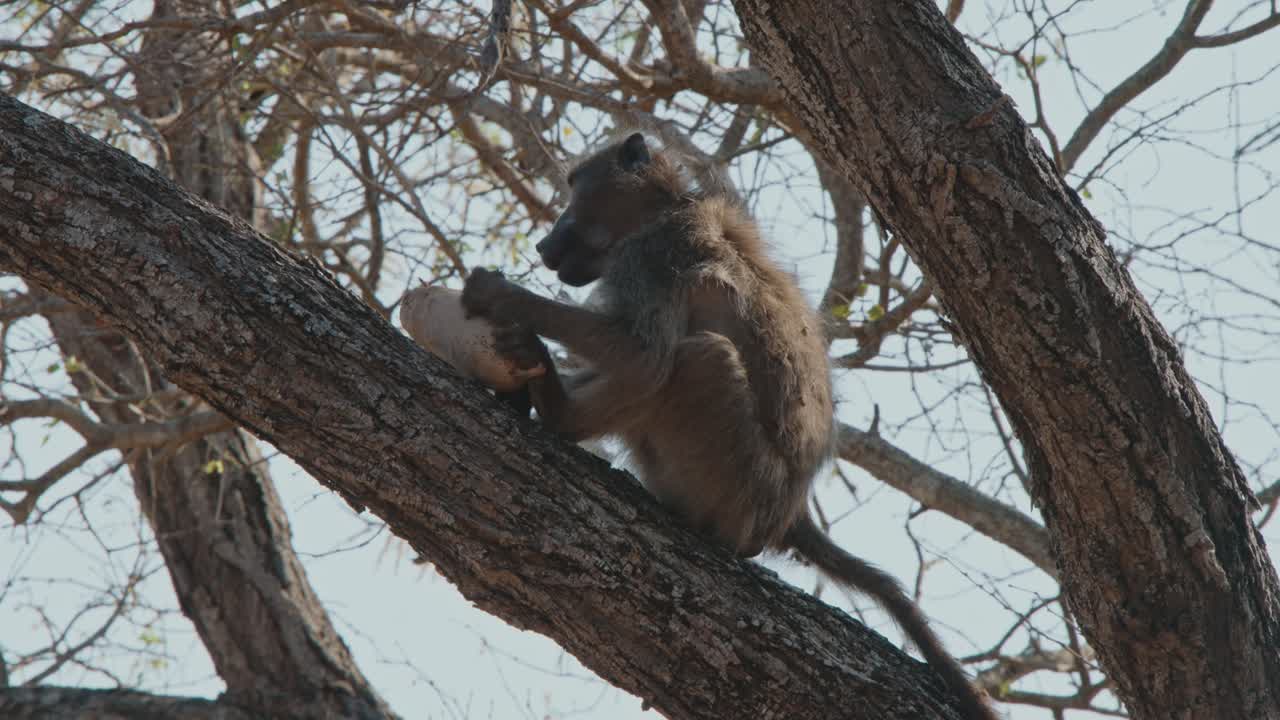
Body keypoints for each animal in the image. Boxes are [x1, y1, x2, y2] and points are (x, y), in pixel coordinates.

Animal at [460, 131, 998, 720]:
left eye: (575, 186)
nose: (543, 244)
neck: (666, 208)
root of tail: (787, 515)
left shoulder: (653, 257)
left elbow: (644, 358)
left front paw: (501, 298)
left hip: (734, 484)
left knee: (698, 357)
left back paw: (559, 411)